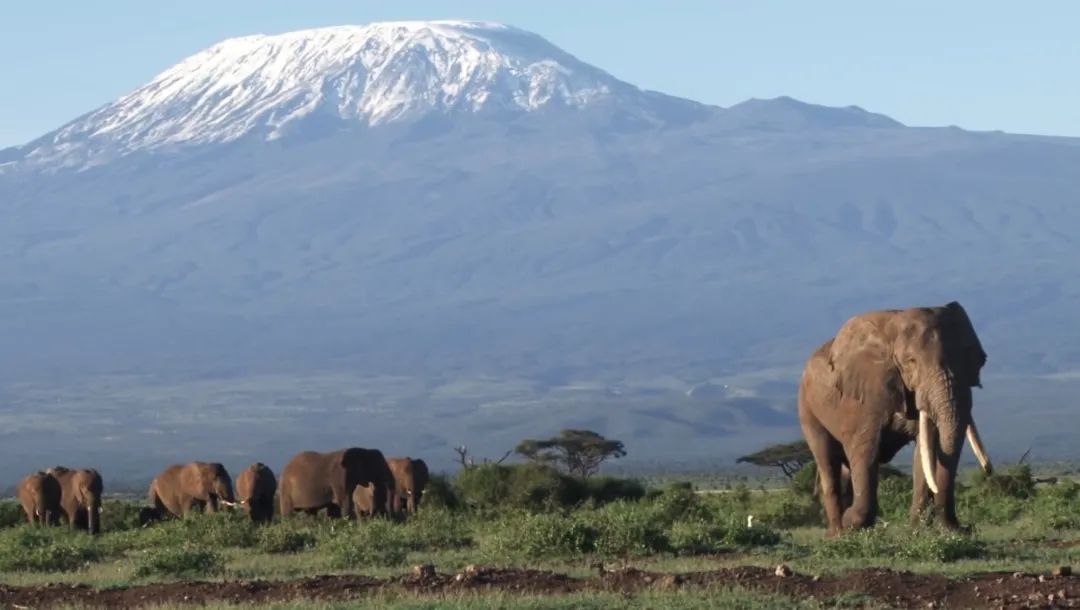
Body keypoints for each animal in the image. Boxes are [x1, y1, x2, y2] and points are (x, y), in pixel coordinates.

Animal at [799, 302, 989, 535]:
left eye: (968, 357)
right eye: (911, 361)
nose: (961, 528)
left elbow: (926, 449)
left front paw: (920, 531)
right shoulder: (865, 396)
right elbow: (866, 451)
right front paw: (852, 521)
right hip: (807, 408)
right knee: (827, 461)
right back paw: (837, 534)